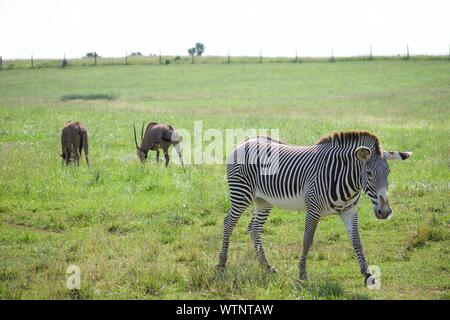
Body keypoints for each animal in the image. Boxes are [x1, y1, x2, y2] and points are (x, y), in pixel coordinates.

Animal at [216, 131, 414, 286]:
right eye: (369, 174)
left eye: (388, 173)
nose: (385, 212)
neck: (345, 179)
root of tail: (245, 142)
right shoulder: (313, 209)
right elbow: (307, 240)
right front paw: (302, 274)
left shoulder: (349, 212)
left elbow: (357, 241)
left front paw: (367, 274)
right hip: (241, 194)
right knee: (228, 223)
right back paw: (221, 265)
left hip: (263, 200)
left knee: (254, 228)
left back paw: (267, 267)